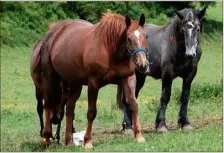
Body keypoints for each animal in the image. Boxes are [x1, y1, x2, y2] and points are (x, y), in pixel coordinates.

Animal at [37, 13, 149, 148]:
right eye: (128, 38)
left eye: (146, 36)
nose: (143, 65)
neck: (110, 49)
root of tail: (51, 33)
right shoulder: (93, 84)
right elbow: (91, 112)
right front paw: (87, 141)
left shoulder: (128, 79)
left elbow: (133, 105)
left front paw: (139, 136)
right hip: (50, 78)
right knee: (48, 104)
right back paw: (47, 136)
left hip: (75, 84)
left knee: (69, 108)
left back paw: (69, 141)